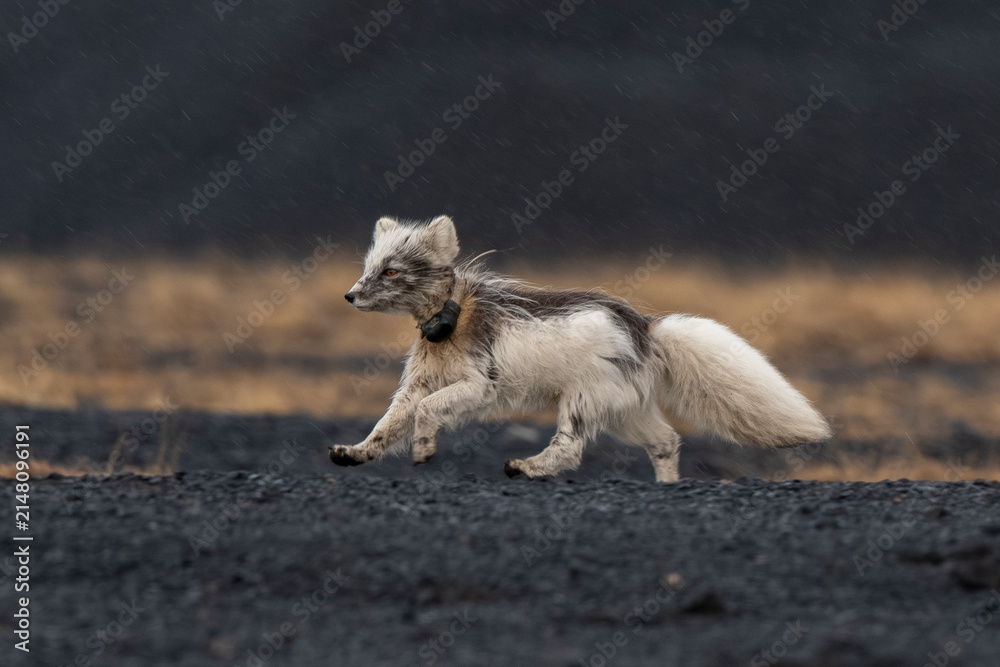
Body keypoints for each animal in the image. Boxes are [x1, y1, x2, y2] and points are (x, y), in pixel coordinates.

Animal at [330, 215, 831, 482]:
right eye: (369, 266)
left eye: (392, 271)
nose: (349, 296)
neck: (455, 315)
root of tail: (646, 329)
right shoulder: (419, 382)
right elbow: (388, 422)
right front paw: (354, 452)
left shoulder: (480, 384)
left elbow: (427, 411)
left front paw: (423, 449)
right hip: (624, 409)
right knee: (667, 439)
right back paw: (667, 485)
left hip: (585, 398)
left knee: (570, 448)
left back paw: (527, 467)